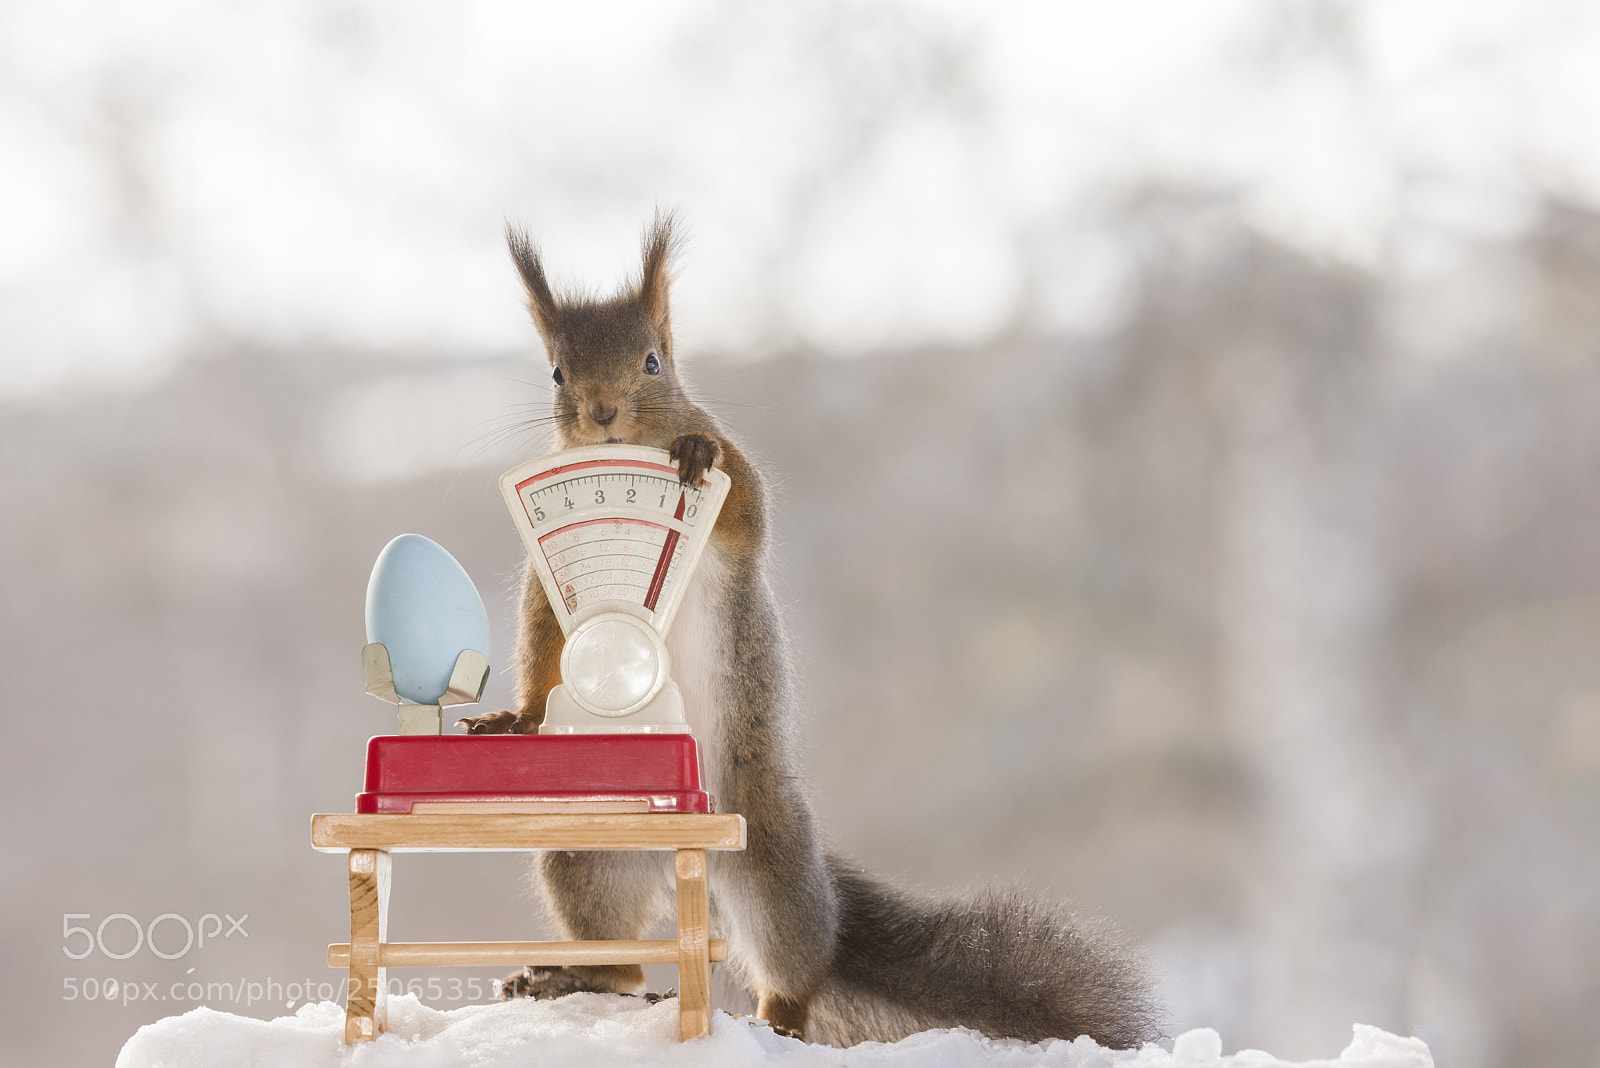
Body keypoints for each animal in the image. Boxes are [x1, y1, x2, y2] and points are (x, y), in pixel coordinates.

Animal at [458, 211, 1162, 1049]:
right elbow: (543, 645)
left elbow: (746, 506)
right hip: (585, 853)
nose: (602, 411)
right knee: (621, 963)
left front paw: (696, 449)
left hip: (770, 857)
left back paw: (777, 1016)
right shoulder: (547, 579)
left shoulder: (735, 518)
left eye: (653, 360)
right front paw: (520, 716)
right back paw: (566, 975)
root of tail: (682, 857)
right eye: (558, 374)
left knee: (797, 960)